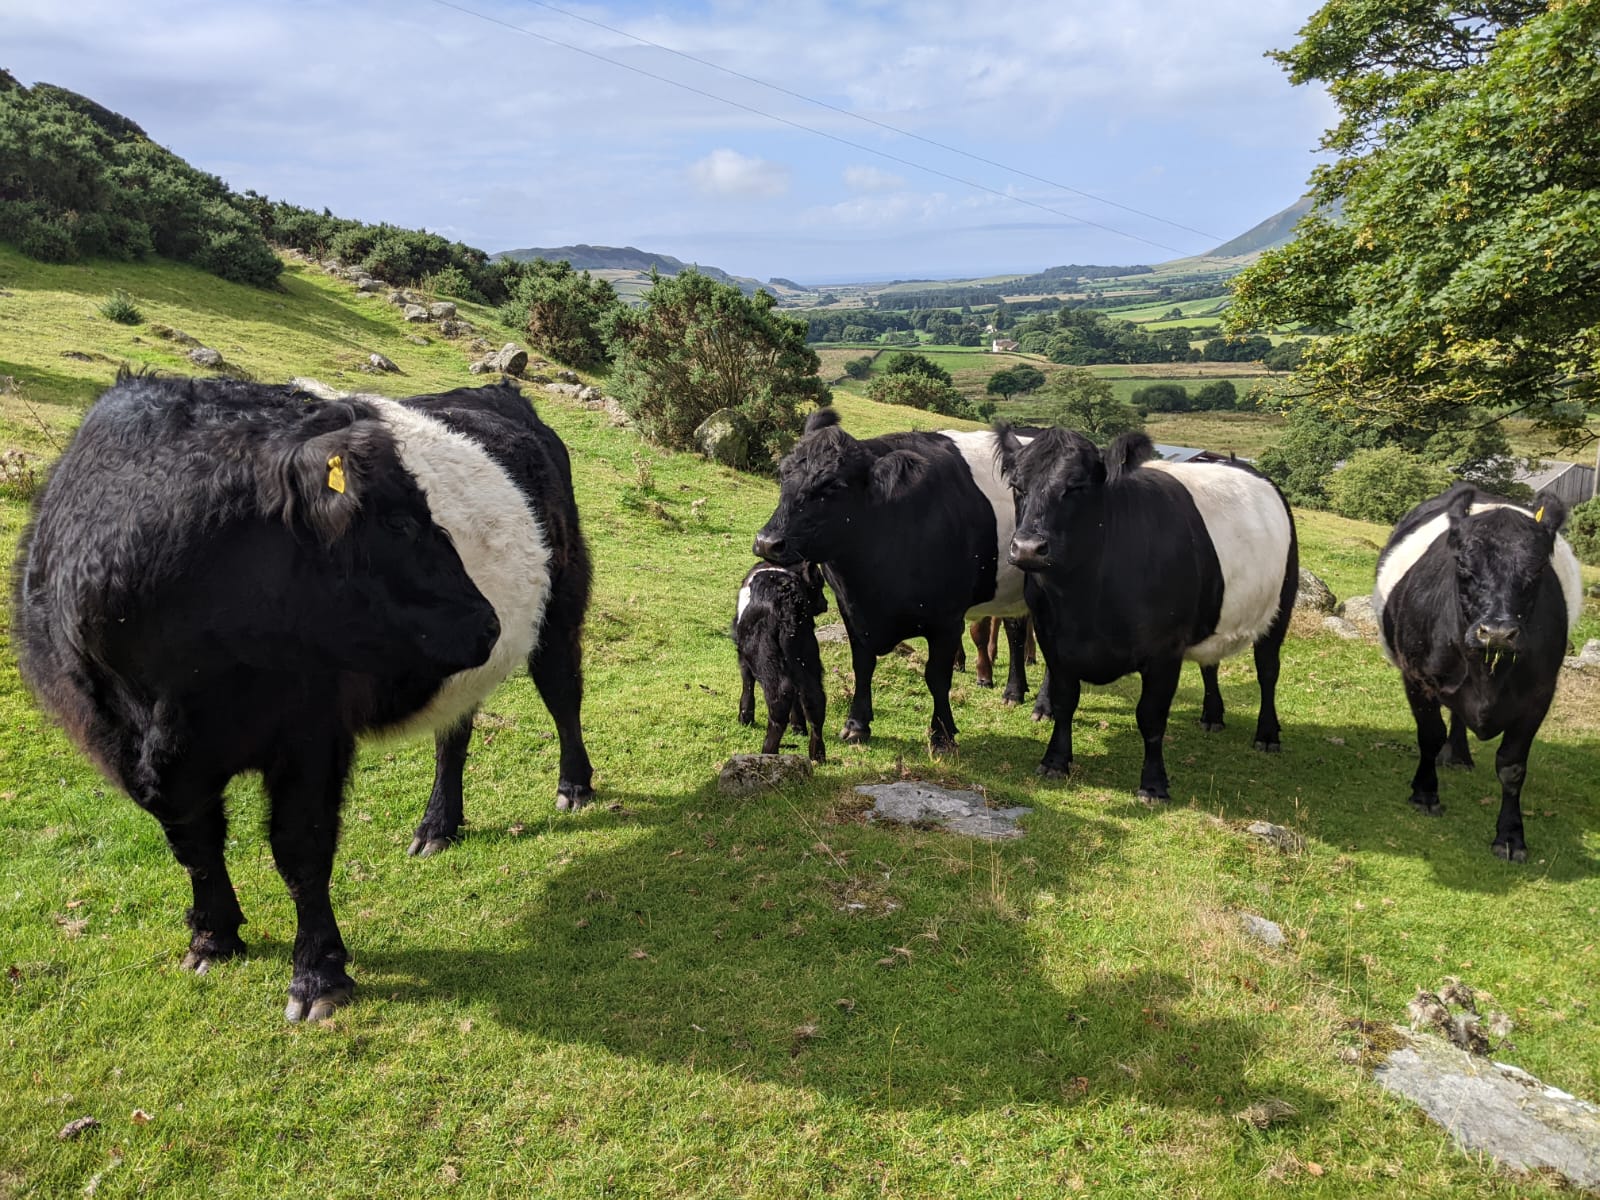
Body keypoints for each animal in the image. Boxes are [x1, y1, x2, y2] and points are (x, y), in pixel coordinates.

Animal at [12, 373, 594, 1021]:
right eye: (398, 522)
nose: (486, 623)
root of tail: (502, 391)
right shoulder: (132, 750)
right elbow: (194, 844)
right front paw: (212, 939)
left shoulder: (311, 735)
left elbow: (300, 850)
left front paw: (317, 977)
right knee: (454, 733)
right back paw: (438, 825)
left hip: (561, 602)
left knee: (563, 693)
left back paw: (574, 786)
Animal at [733, 560, 829, 761]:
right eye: (818, 584)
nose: (825, 603)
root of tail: (788, 599)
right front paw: (798, 727)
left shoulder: (743, 656)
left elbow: (747, 682)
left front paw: (745, 717)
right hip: (807, 655)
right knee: (814, 698)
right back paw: (817, 754)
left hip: (764, 656)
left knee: (780, 696)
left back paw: (768, 752)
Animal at [752, 407, 1031, 750]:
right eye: (783, 473)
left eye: (834, 486)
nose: (767, 542)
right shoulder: (850, 609)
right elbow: (863, 664)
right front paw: (857, 725)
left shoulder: (947, 618)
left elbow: (936, 676)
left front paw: (942, 734)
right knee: (1016, 629)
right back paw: (1016, 690)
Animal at [1000, 427, 1298, 800]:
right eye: (1017, 486)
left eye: (1077, 486)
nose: (1027, 548)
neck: (1082, 603)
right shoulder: (1053, 639)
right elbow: (1065, 700)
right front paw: (1055, 761)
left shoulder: (1164, 651)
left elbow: (1151, 716)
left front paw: (1153, 785)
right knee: (1210, 664)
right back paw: (1212, 715)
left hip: (1280, 607)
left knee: (1268, 671)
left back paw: (1267, 734)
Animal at [1374, 483, 1582, 861]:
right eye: (1461, 563)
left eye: (1538, 569)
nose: (1497, 632)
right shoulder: (1417, 678)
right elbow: (1430, 735)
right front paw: (1425, 794)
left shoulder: (1539, 696)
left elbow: (1512, 767)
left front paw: (1511, 836)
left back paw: (1458, 755)